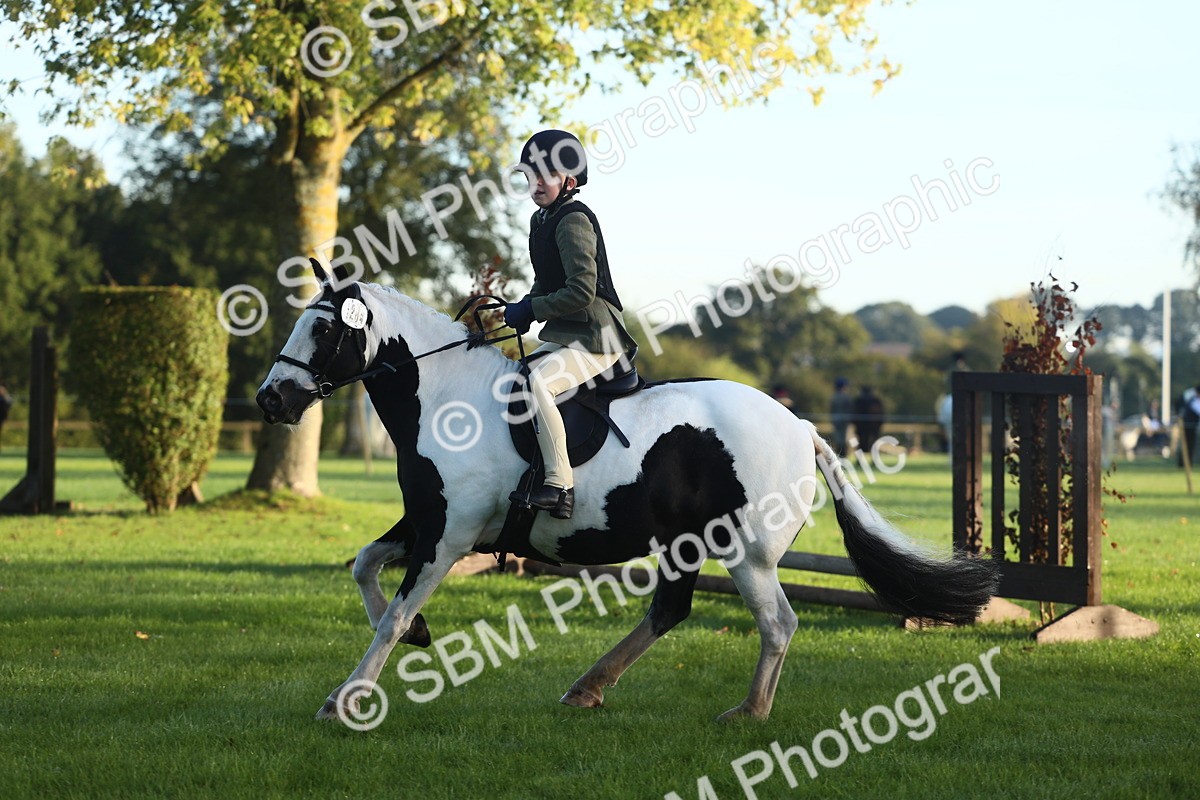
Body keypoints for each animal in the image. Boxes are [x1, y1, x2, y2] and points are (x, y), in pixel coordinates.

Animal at [255, 261, 999, 723]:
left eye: (323, 327)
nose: (272, 399)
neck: (445, 401)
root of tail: (801, 426)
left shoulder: (449, 534)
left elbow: (390, 614)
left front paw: (345, 700)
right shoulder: (427, 522)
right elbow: (365, 569)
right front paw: (415, 636)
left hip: (746, 552)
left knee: (776, 623)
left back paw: (748, 711)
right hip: (686, 543)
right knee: (671, 610)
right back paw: (589, 688)